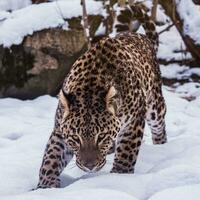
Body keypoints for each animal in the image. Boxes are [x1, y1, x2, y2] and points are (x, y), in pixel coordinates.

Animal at [36, 4, 166, 189]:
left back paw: (161, 147)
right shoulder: (60, 129)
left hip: (154, 105)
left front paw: (119, 175)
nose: (89, 166)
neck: (90, 85)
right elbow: (51, 157)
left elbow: (127, 151)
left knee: (159, 126)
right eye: (76, 138)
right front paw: (46, 186)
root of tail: (139, 36)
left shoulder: (133, 122)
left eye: (101, 136)